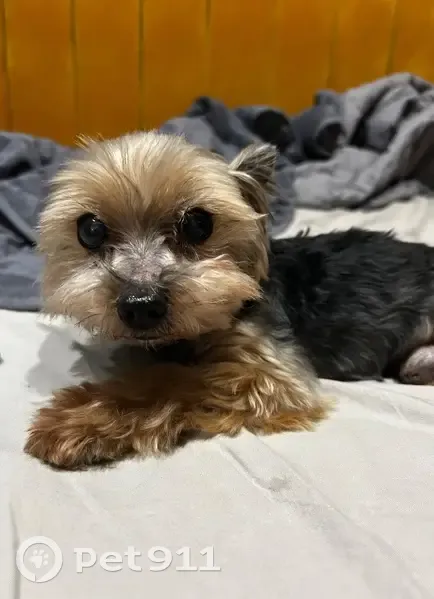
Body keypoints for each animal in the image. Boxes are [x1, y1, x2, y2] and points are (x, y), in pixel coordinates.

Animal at [24, 132, 434, 469]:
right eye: (90, 230)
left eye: (198, 224)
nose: (140, 305)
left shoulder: (271, 374)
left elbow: (173, 379)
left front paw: (76, 419)